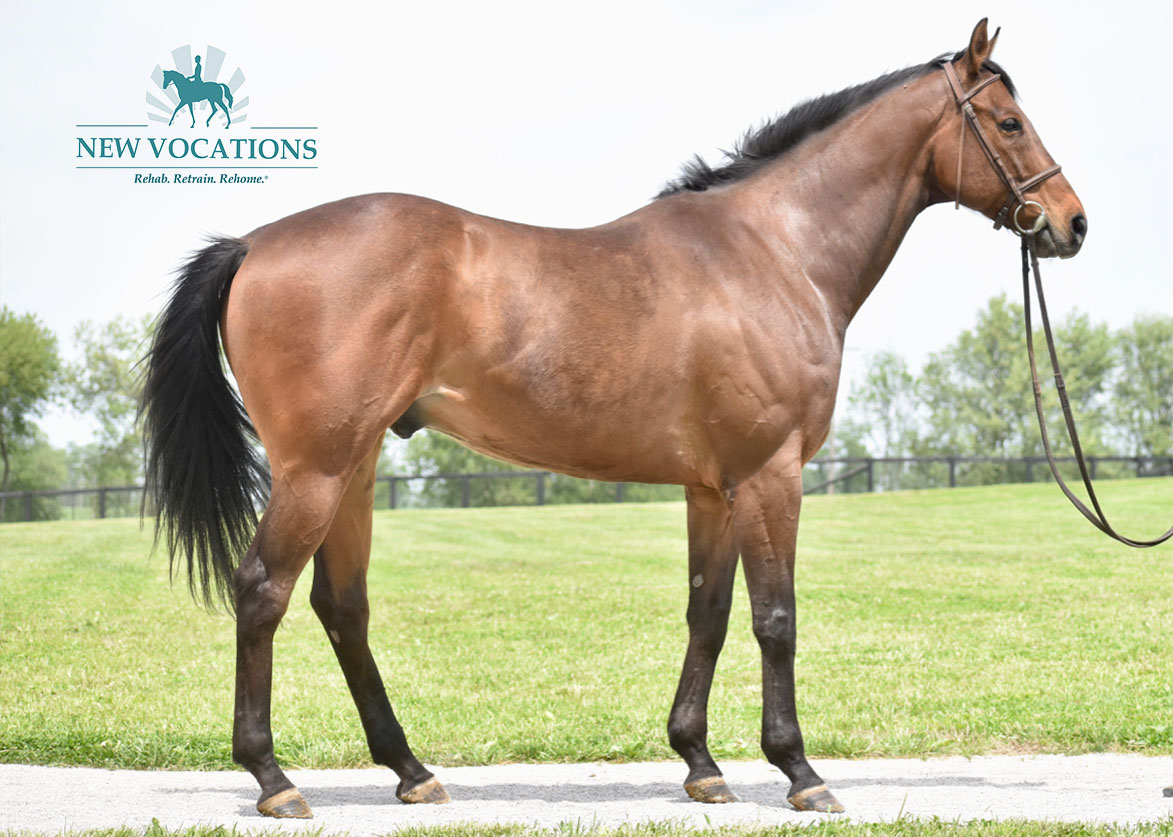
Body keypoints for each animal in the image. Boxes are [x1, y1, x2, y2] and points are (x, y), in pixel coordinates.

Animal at [141, 19, 1083, 815]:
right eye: (1007, 122)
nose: (1070, 224)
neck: (773, 251)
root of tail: (253, 243)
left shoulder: (712, 489)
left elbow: (708, 612)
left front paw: (700, 763)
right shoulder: (769, 474)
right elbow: (773, 617)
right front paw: (799, 771)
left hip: (356, 466)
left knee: (342, 606)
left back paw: (411, 770)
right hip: (317, 468)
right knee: (262, 589)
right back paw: (274, 779)